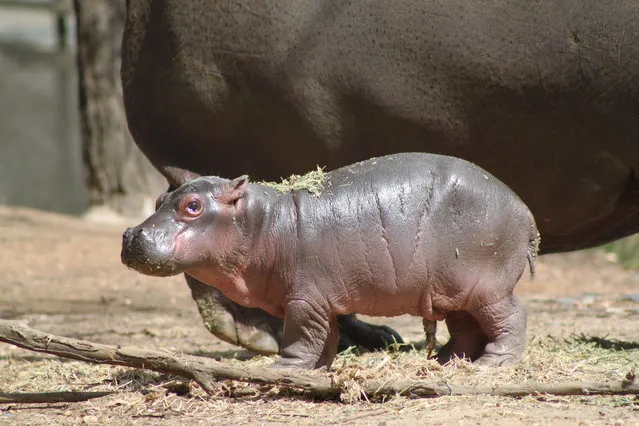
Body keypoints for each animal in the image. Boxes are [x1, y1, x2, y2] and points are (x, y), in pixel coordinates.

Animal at [121, 153, 540, 370]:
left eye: (192, 206)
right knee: (466, 328)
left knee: (512, 317)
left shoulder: (304, 299)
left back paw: (491, 364)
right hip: (452, 290)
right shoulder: (325, 301)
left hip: (486, 286)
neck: (262, 222)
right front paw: (321, 369)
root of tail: (524, 209)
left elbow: (300, 336)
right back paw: (445, 361)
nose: (129, 234)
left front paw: (284, 369)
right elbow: (328, 337)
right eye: (160, 199)